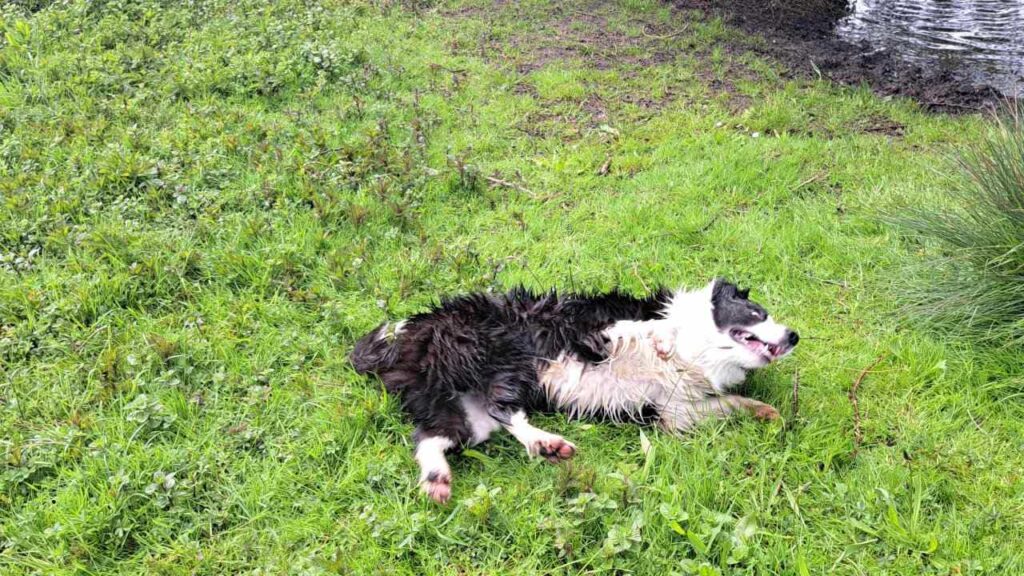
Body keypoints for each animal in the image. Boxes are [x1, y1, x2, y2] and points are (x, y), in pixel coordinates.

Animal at [352, 276, 798, 498]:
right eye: (757, 312)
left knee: (434, 437)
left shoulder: (675, 408)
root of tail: (409, 336)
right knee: (503, 408)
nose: (794, 336)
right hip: (500, 350)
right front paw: (661, 338)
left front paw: (766, 412)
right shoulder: (590, 330)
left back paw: (439, 479)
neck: (698, 354)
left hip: (462, 411)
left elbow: (730, 402)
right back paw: (547, 442)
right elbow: (644, 326)